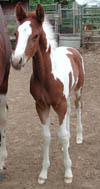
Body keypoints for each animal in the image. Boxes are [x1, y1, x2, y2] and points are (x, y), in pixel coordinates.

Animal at [11, 3, 85, 185]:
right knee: (69, 113)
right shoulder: (41, 106)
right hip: (66, 97)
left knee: (78, 108)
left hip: (78, 90)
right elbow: (46, 136)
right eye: (16, 33)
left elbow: (62, 136)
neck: (46, 76)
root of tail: (71, 48)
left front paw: (68, 173)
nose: (16, 61)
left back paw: (79, 137)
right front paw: (43, 173)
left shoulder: (59, 104)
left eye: (35, 35)